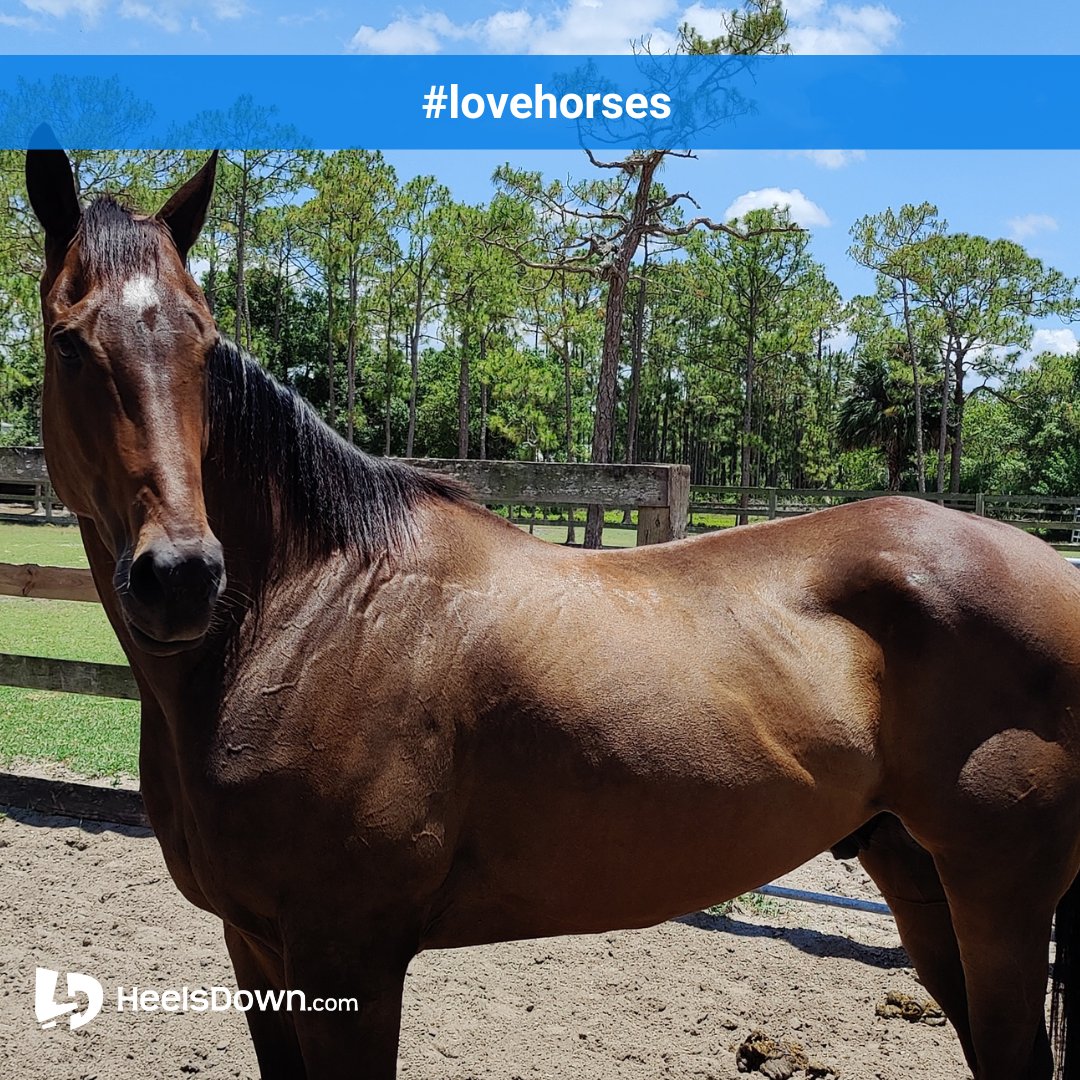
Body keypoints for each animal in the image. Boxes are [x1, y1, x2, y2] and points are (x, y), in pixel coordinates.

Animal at [24, 143, 1080, 1080]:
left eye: (202, 341)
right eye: (69, 341)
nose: (181, 576)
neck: (307, 615)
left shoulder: (345, 959)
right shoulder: (255, 947)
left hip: (1000, 895)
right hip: (917, 874)